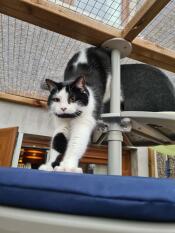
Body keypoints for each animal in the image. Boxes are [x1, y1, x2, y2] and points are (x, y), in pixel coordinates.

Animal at [39, 46, 175, 172]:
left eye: (72, 98)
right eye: (56, 99)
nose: (63, 108)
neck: (71, 117)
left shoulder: (84, 122)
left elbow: (75, 143)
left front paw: (67, 166)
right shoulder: (61, 126)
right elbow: (57, 143)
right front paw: (49, 165)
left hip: (111, 82)